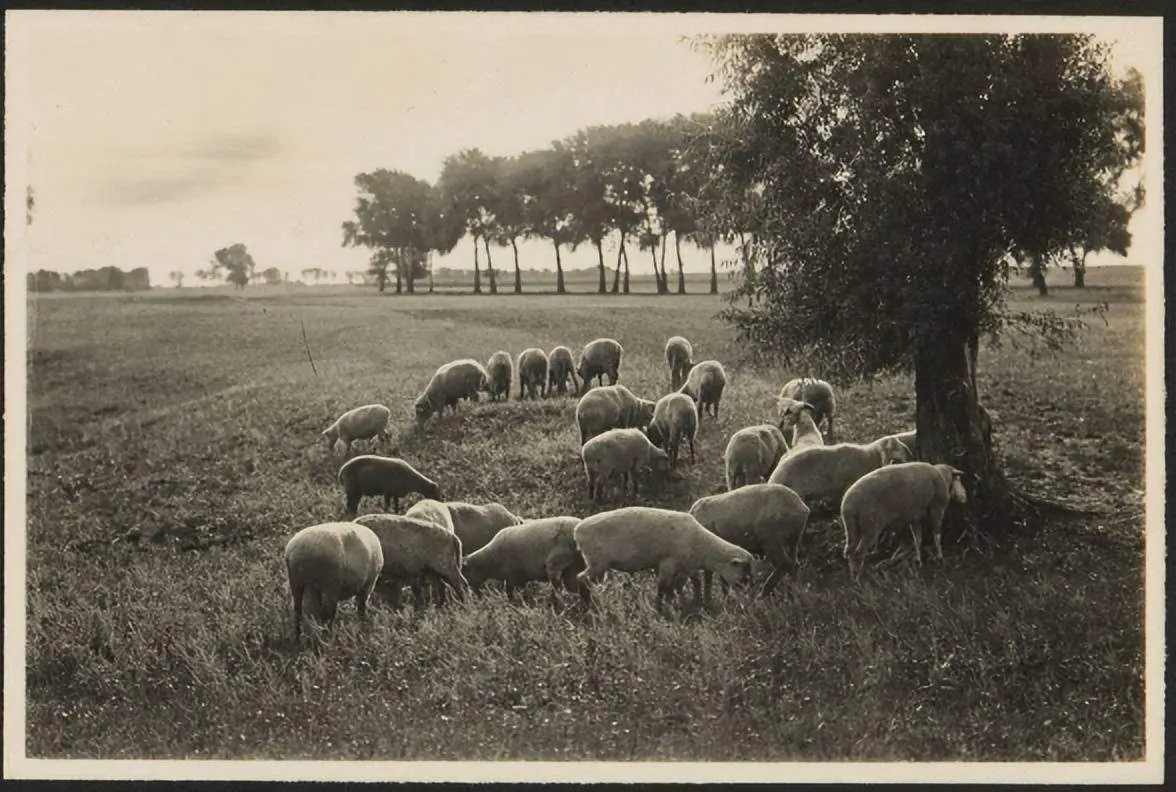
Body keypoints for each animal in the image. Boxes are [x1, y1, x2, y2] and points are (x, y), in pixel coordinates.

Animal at [461, 516, 590, 606]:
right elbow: (516, 594)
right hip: (574, 566)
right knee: (580, 587)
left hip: (557, 562)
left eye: (465, 573)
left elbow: (517, 595)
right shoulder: (516, 579)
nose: (470, 595)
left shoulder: (514, 578)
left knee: (560, 589)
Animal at [574, 507, 754, 611]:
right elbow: (663, 587)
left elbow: (685, 585)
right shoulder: (669, 563)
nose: (747, 596)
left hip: (599, 566)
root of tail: (578, 530)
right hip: (597, 562)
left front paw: (689, 603)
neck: (702, 546)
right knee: (580, 579)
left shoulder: (685, 567)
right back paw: (586, 606)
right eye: (744, 573)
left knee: (588, 582)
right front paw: (661, 608)